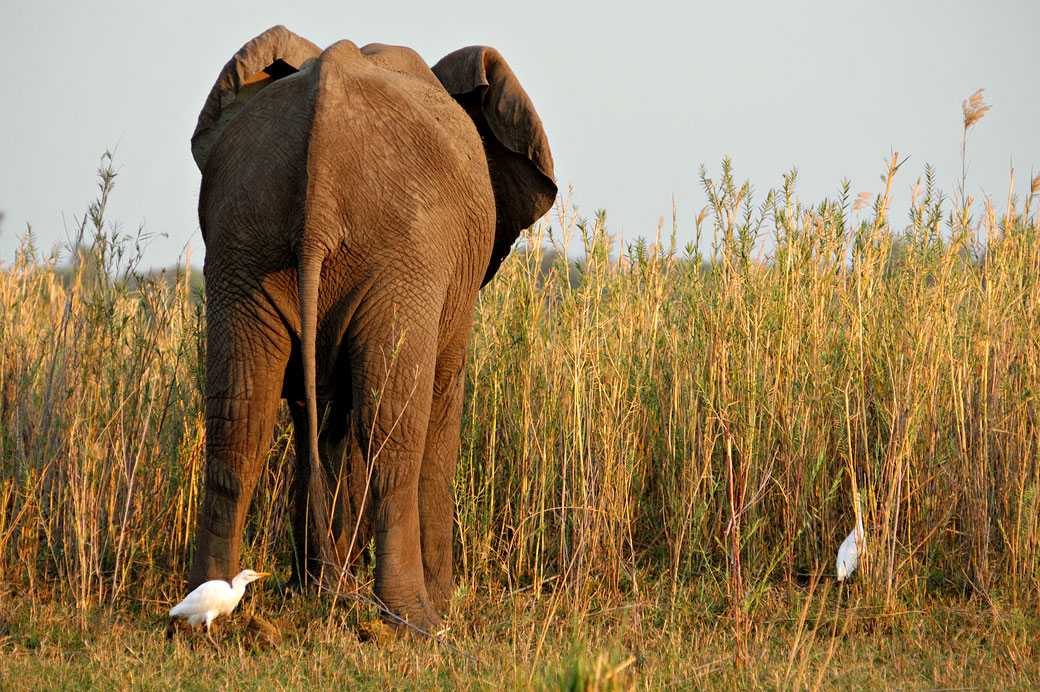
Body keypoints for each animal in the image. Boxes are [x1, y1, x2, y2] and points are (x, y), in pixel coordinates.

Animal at [190, 27, 557, 632]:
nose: (323, 581)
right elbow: (438, 398)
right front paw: (444, 600)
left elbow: (321, 418)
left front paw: (318, 587)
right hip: (404, 256)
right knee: (392, 429)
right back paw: (418, 620)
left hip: (243, 243)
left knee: (239, 421)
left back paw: (211, 604)